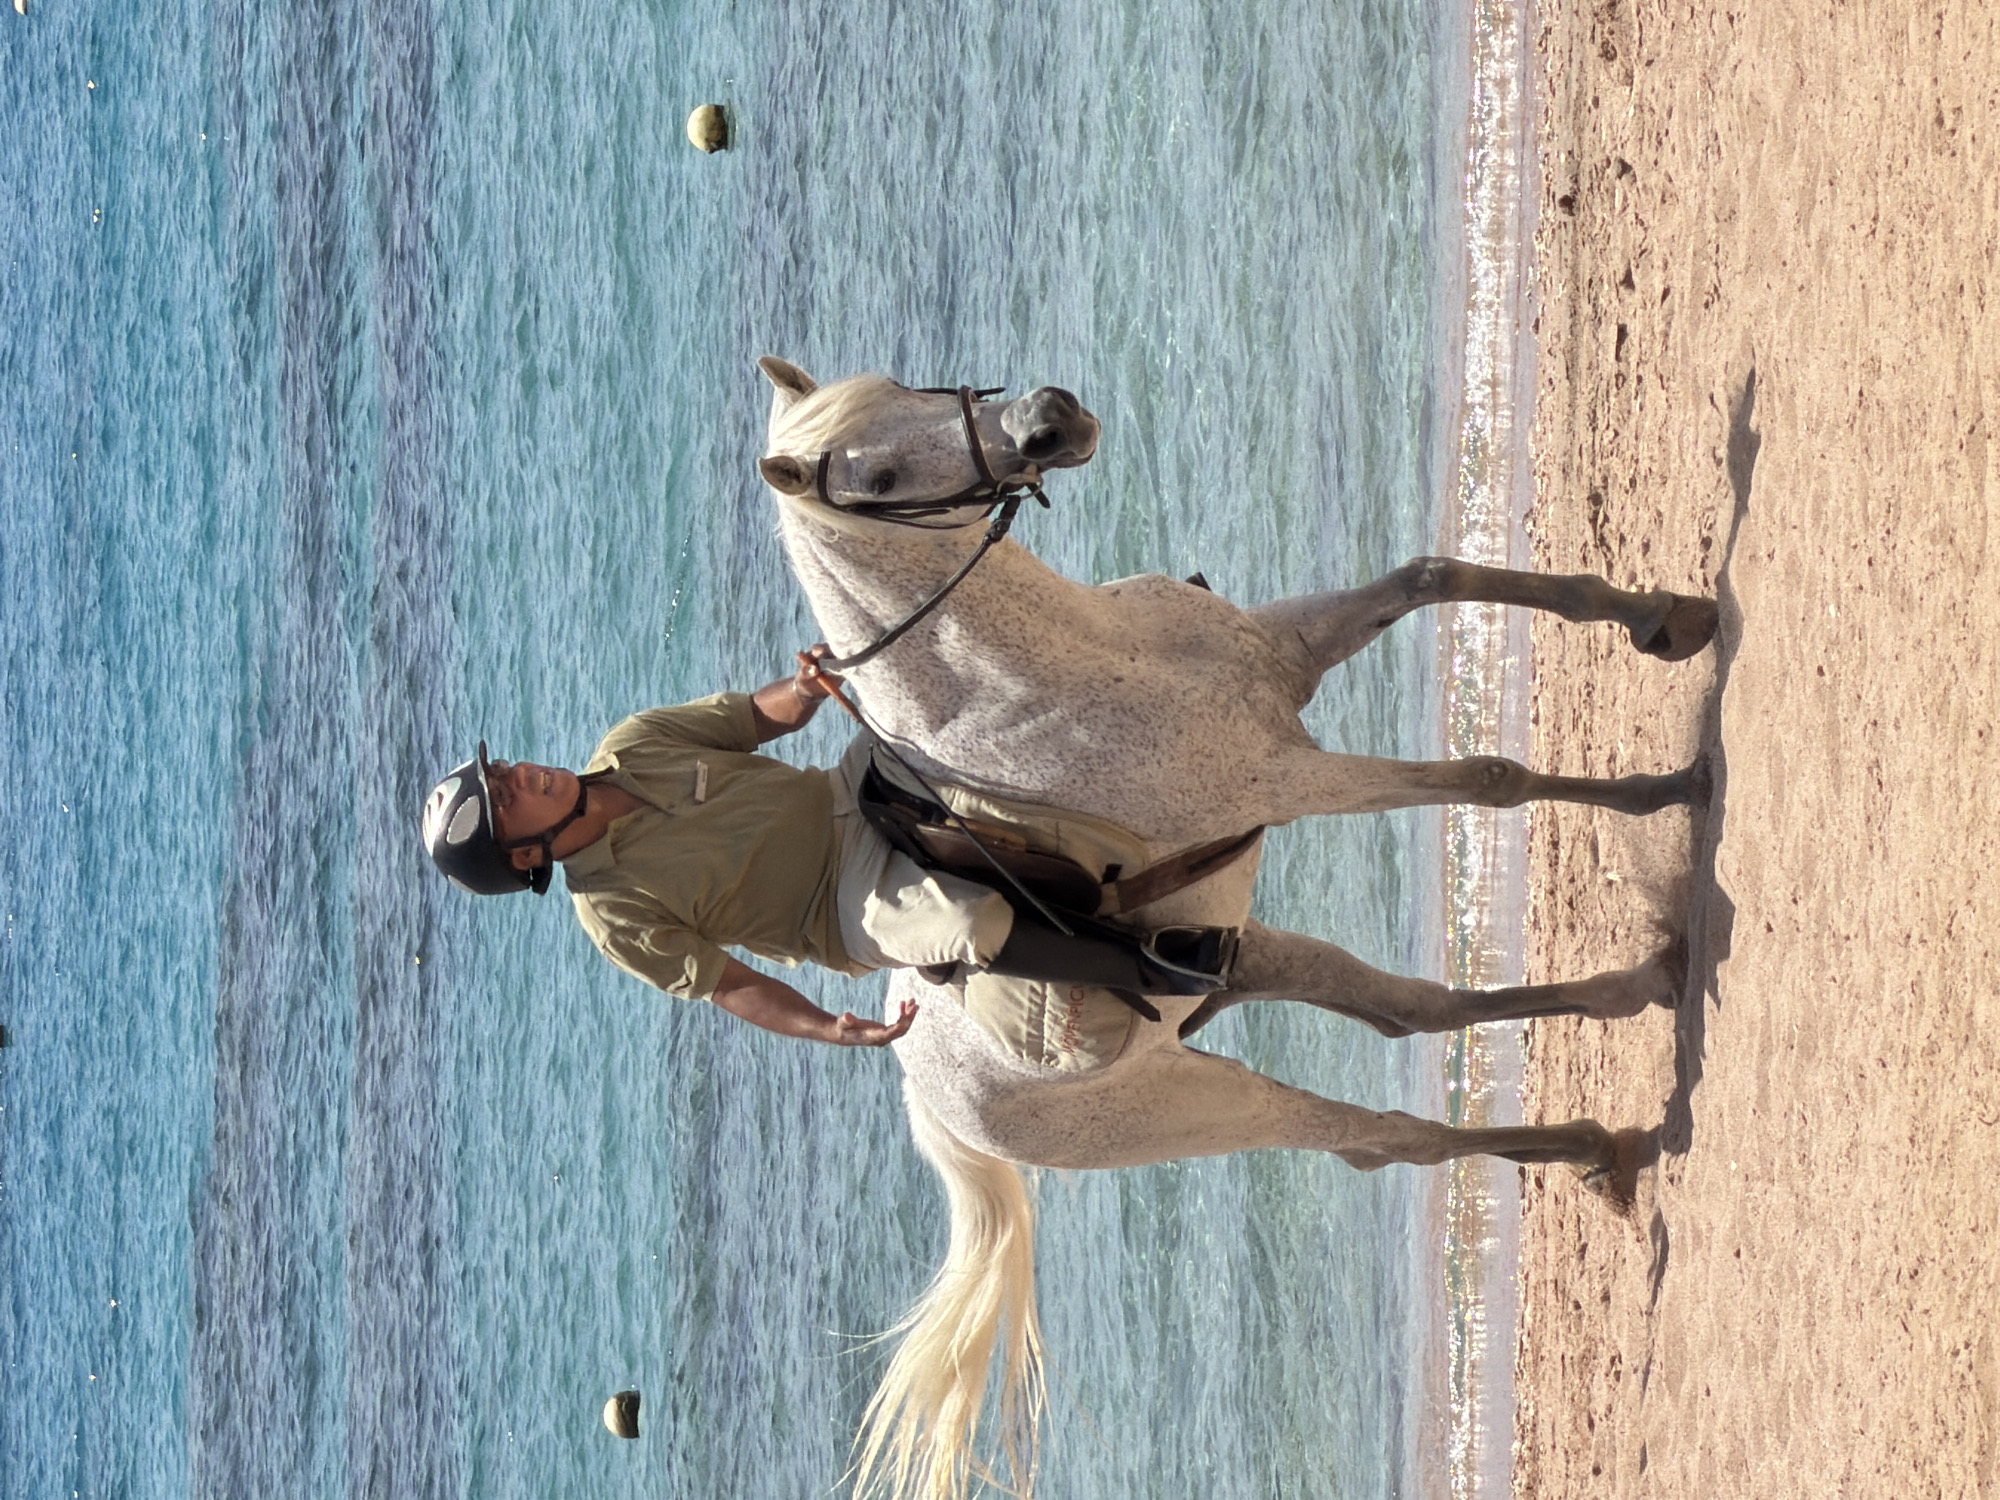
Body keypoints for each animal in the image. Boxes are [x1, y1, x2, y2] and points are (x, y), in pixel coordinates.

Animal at [754, 357, 1715, 1499]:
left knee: (1405, 1013)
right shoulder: (1296, 780)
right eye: (877, 476)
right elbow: (1491, 779)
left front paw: (1664, 620)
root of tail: (938, 1107)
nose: (1048, 423)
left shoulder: (1291, 655)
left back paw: (1618, 1033)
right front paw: (1670, 786)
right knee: (1380, 1140)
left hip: (1230, 964)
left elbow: (1432, 574)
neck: (1058, 673)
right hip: (1199, 1104)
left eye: (906, 381)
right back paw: (1593, 1138)